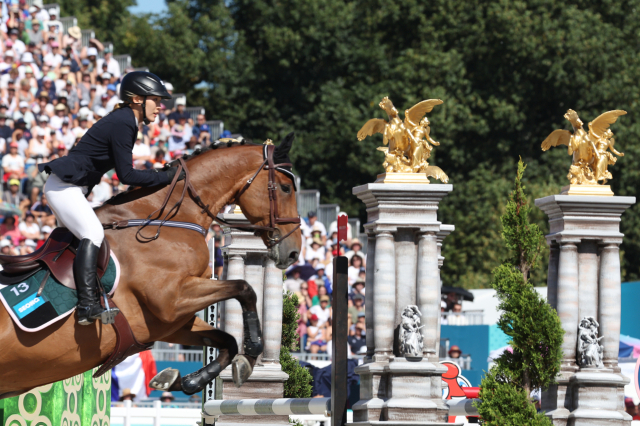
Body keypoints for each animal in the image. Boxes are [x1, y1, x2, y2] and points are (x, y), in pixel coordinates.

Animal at [0, 136, 302, 400]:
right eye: (286, 188)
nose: (293, 251)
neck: (166, 221)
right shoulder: (170, 301)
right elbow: (244, 288)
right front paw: (252, 350)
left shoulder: (171, 323)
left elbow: (227, 340)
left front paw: (182, 380)